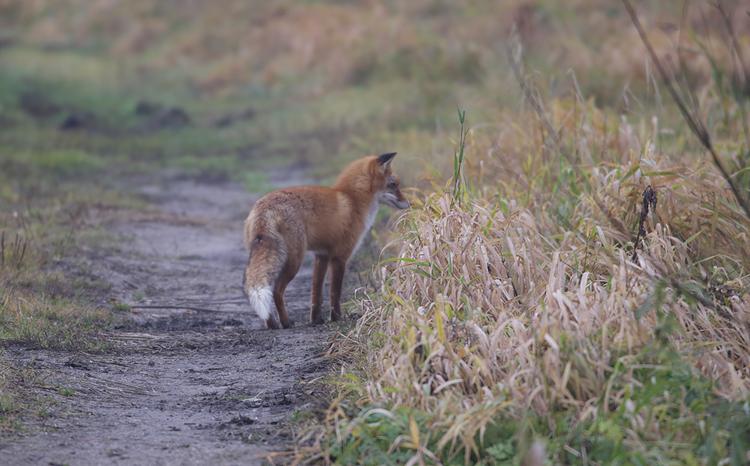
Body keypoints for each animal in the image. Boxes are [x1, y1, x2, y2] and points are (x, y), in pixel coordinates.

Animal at [242, 153, 408, 328]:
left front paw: (316, 320)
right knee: (277, 291)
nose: (408, 203)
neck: (352, 200)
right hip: (295, 261)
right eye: (393, 184)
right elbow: (335, 292)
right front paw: (337, 317)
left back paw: (271, 323)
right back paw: (285, 322)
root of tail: (265, 206)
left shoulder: (321, 255)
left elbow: (316, 293)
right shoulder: (340, 256)